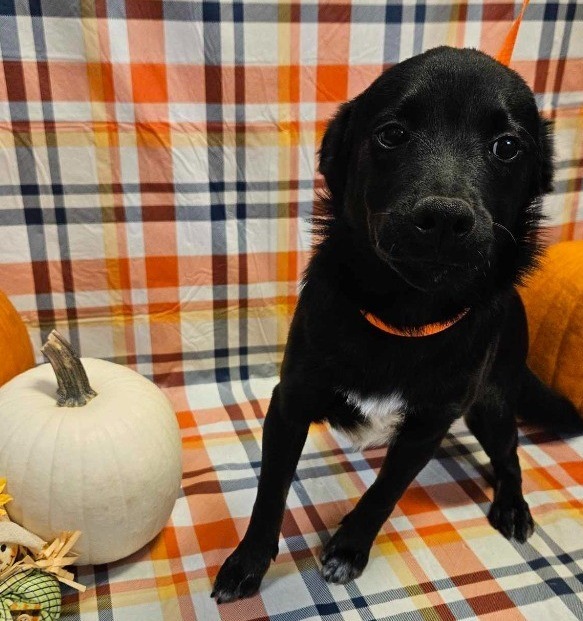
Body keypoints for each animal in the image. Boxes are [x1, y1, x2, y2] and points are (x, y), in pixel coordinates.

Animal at [210, 47, 580, 600]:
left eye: (508, 147)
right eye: (392, 134)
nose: (445, 218)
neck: (404, 314)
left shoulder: (428, 426)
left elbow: (383, 493)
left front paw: (347, 550)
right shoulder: (291, 400)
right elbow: (269, 491)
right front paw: (248, 562)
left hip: (491, 403)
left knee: (510, 454)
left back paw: (512, 506)